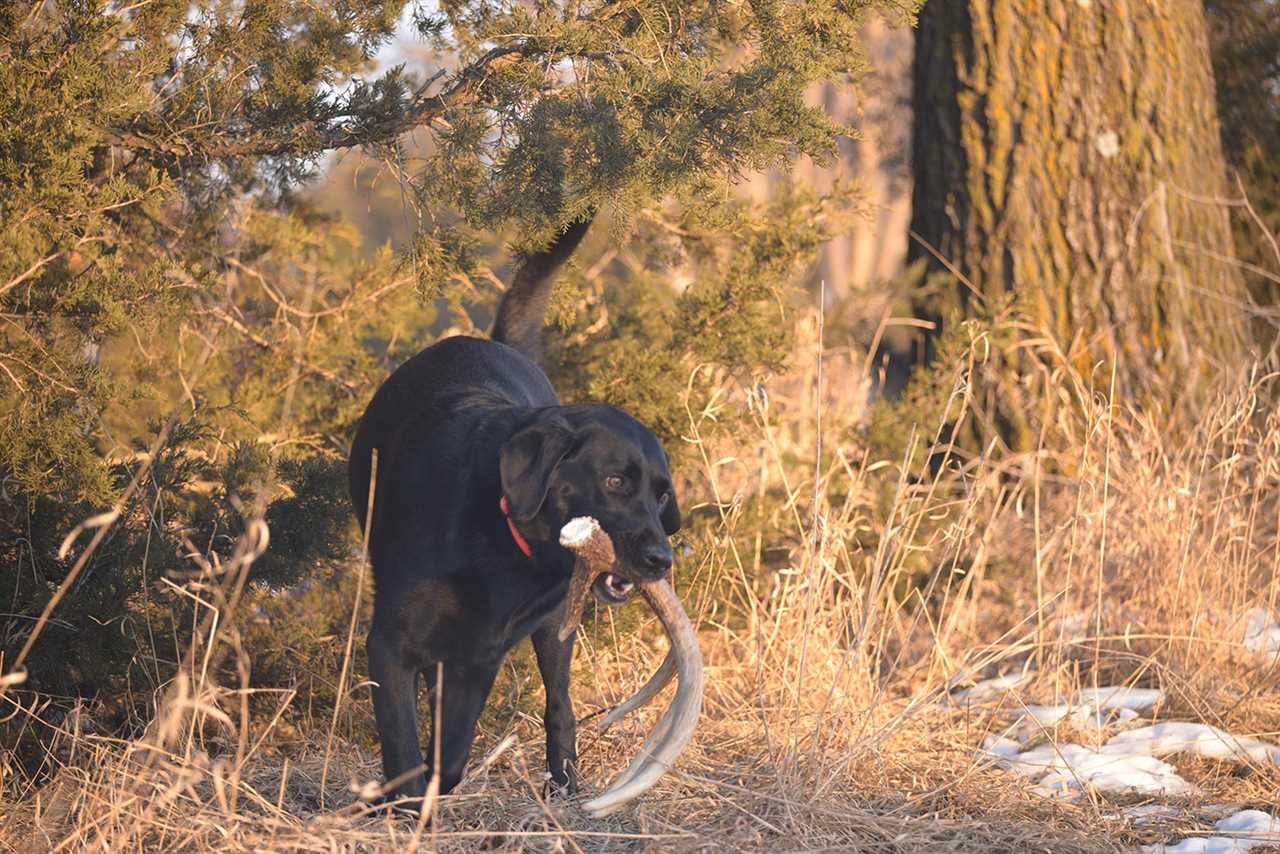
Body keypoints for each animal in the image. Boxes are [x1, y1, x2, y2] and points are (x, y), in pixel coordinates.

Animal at [340, 217, 680, 804]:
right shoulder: (389, 646)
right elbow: (405, 751)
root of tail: (492, 342)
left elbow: (450, 759)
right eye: (615, 482)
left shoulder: (480, 659)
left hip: (556, 631)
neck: (499, 539)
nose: (662, 559)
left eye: (661, 494)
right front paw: (399, 804)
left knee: (560, 705)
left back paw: (564, 784)